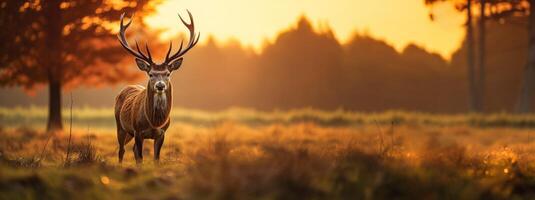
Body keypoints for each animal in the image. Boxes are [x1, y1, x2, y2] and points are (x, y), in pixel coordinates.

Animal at [115, 10, 201, 164]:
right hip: (120, 125)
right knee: (121, 150)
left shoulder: (162, 133)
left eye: (167, 73)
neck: (154, 122)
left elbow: (156, 158)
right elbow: (140, 158)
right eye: (150, 74)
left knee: (131, 150)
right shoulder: (138, 131)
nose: (160, 85)